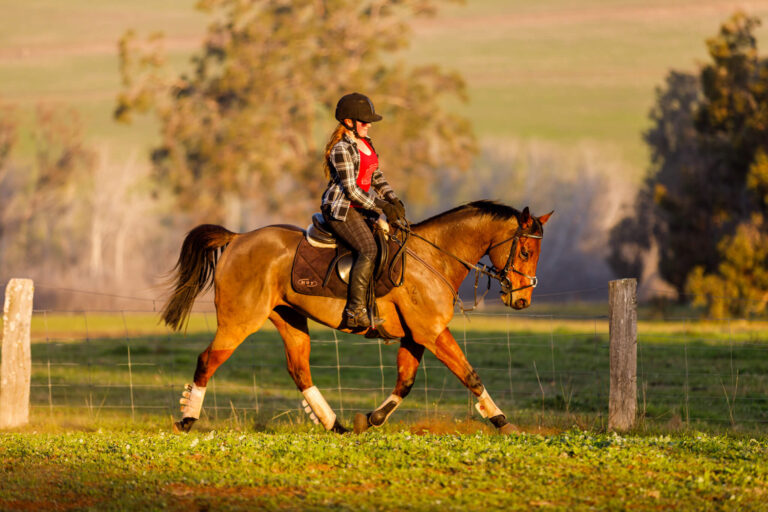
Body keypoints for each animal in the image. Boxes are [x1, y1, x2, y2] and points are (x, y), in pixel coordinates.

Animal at [164, 202, 552, 434]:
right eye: (526, 251)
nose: (522, 300)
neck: (435, 257)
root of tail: (238, 238)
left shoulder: (416, 336)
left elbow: (405, 382)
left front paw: (369, 419)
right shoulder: (431, 332)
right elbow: (469, 375)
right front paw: (501, 421)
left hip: (289, 319)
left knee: (299, 370)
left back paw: (334, 424)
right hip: (241, 320)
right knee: (208, 360)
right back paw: (187, 419)